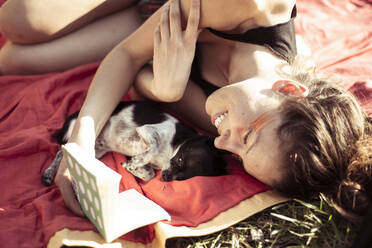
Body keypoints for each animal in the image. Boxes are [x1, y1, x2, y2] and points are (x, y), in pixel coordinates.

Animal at [42, 100, 225, 184]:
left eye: (182, 179)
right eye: (180, 160)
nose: (165, 178)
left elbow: (149, 175)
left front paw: (132, 168)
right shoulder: (146, 130)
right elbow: (152, 149)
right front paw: (135, 162)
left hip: (96, 150)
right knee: (60, 152)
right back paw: (49, 173)